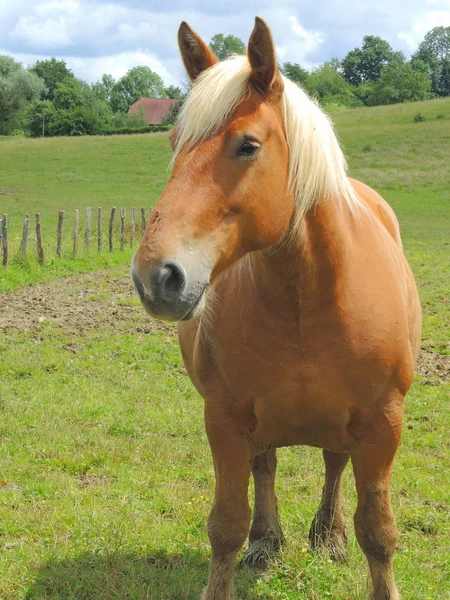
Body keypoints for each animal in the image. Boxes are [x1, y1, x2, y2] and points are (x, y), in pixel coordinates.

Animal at [131, 16, 422, 596]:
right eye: (175, 141)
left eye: (247, 145)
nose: (156, 277)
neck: (306, 301)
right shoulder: (223, 417)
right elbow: (226, 525)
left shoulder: (383, 422)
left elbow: (378, 531)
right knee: (265, 467)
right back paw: (267, 544)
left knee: (333, 464)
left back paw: (328, 535)